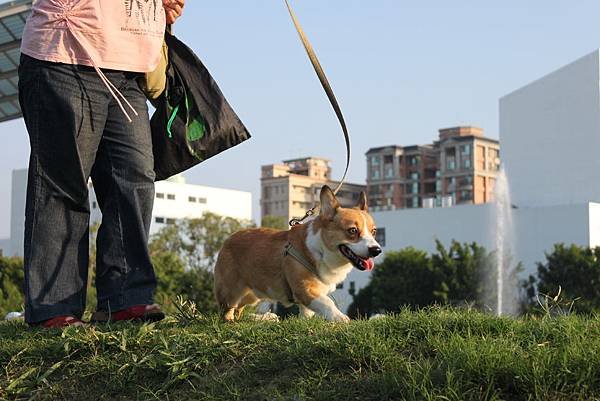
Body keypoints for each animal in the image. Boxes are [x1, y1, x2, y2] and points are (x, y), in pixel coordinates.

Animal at [213, 185, 380, 322]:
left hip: (251, 295)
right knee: (227, 312)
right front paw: (340, 318)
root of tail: (228, 240)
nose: (376, 250)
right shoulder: (305, 289)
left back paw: (263, 318)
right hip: (231, 292)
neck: (321, 250)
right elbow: (328, 302)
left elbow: (307, 313)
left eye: (374, 232)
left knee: (239, 311)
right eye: (352, 231)